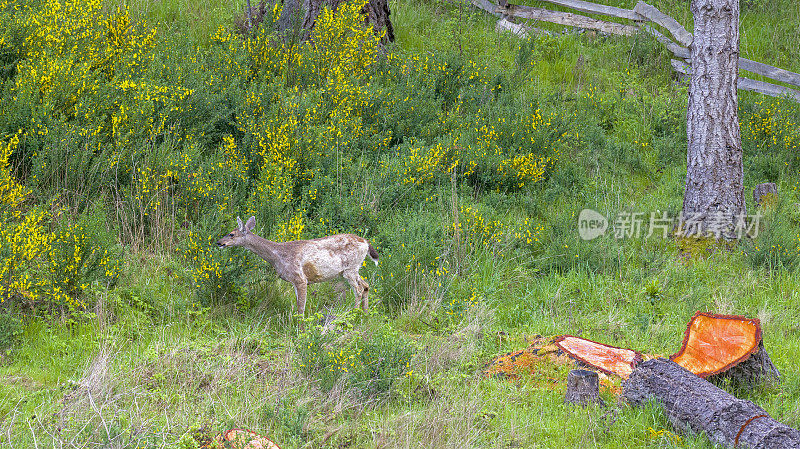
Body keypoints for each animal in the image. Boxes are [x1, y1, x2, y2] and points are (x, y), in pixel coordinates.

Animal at [217, 215, 380, 314]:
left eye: (231, 234)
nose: (219, 242)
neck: (278, 256)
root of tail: (366, 242)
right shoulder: (294, 281)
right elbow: (298, 304)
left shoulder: (300, 278)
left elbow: (300, 307)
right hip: (353, 269)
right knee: (366, 285)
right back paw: (365, 313)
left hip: (350, 268)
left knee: (359, 289)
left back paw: (354, 314)